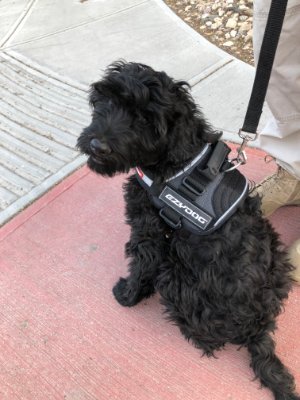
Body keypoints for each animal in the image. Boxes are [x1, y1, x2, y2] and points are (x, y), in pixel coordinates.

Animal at [77, 61, 298, 398]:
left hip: (174, 275)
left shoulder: (149, 232)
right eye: (108, 101)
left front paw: (128, 295)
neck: (176, 160)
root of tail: (258, 327)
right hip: (279, 261)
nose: (97, 145)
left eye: (145, 119)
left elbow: (141, 265)